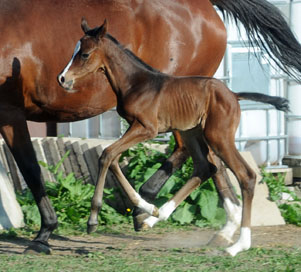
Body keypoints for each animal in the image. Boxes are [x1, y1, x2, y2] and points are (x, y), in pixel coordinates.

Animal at [0, 0, 300, 255]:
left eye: (84, 54)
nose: (62, 78)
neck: (137, 80)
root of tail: (234, 95)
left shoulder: (146, 128)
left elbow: (89, 158)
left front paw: (69, 226)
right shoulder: (135, 127)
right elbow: (112, 157)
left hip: (212, 133)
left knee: (240, 173)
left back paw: (235, 242)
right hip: (197, 130)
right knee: (207, 166)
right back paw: (181, 220)